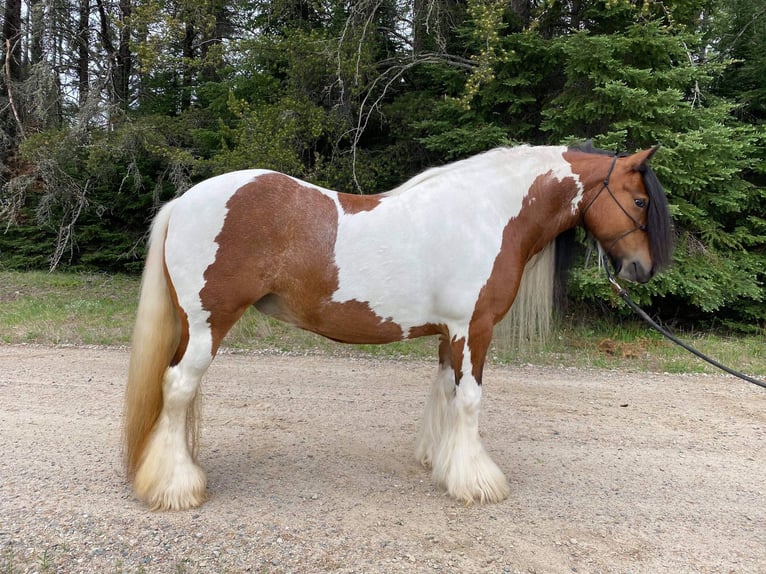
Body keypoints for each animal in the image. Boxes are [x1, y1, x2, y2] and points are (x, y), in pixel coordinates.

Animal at [123, 144, 676, 512]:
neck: (486, 215)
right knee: (177, 386)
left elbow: (446, 392)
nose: (641, 270)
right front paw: (477, 480)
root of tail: (184, 201)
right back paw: (176, 487)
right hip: (208, 325)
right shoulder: (474, 328)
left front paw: (442, 463)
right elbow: (469, 399)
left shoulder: (450, 333)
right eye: (640, 201)